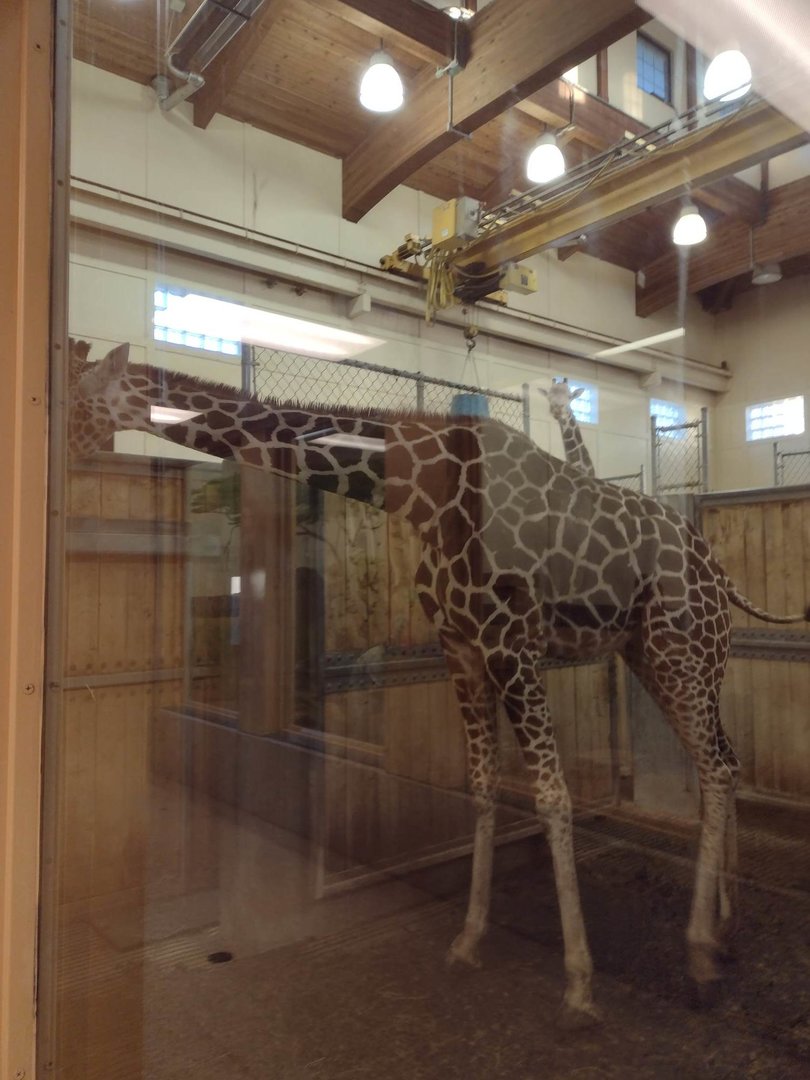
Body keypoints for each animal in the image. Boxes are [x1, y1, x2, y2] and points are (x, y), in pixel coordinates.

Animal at [68, 340, 809, 1025]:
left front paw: (578, 982)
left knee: (717, 765)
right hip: (657, 656)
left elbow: (552, 796)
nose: (69, 453)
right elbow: (480, 787)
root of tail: (718, 569)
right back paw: (726, 926)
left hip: (682, 649)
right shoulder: (461, 647)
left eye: (78, 397)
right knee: (722, 760)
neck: (425, 496)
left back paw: (699, 954)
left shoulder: (513, 643)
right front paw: (468, 939)